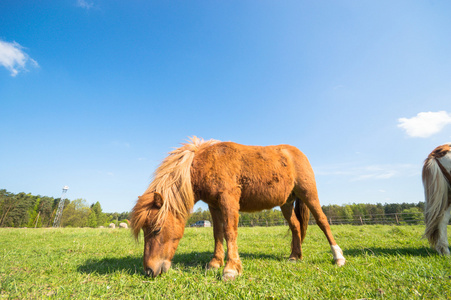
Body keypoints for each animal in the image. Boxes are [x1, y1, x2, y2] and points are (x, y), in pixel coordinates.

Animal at [131, 137, 346, 280]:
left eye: (157, 229)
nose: (149, 271)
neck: (208, 162)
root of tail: (296, 152)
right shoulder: (214, 205)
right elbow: (217, 233)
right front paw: (215, 263)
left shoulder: (229, 200)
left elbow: (230, 232)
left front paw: (230, 269)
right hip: (286, 203)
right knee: (295, 227)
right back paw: (295, 256)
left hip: (309, 194)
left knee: (322, 221)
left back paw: (338, 257)